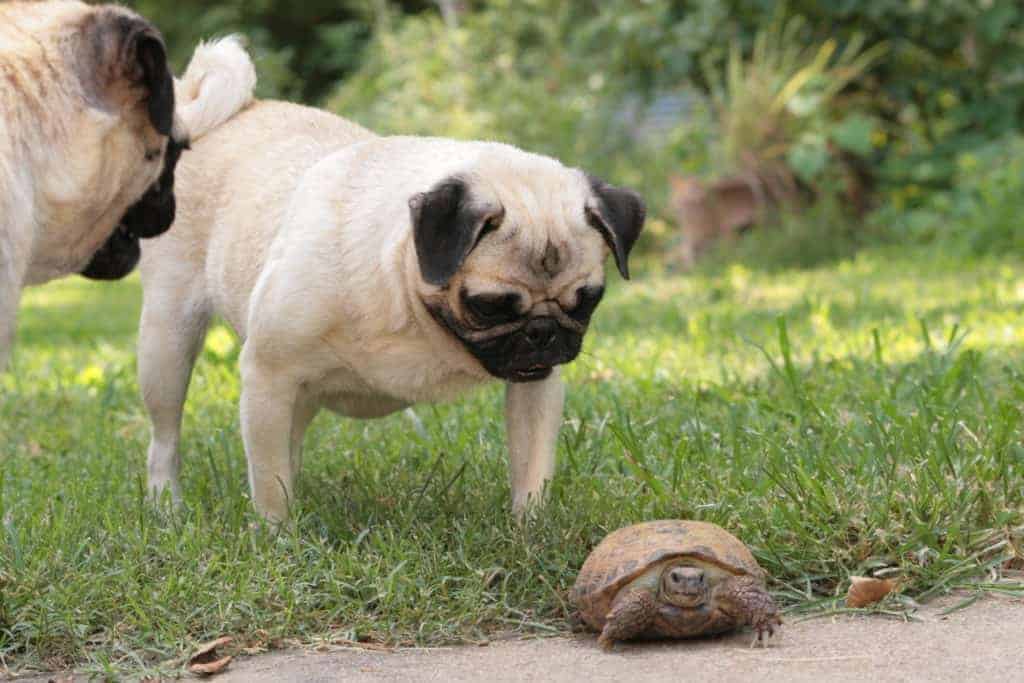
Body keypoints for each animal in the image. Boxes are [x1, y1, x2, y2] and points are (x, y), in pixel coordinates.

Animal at [140, 48, 643, 520]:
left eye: (587, 302)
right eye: (489, 306)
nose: (543, 332)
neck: (408, 299)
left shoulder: (536, 385)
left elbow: (532, 463)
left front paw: (530, 529)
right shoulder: (268, 373)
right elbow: (268, 482)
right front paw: (277, 535)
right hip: (167, 345)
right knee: (166, 439)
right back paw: (166, 505)